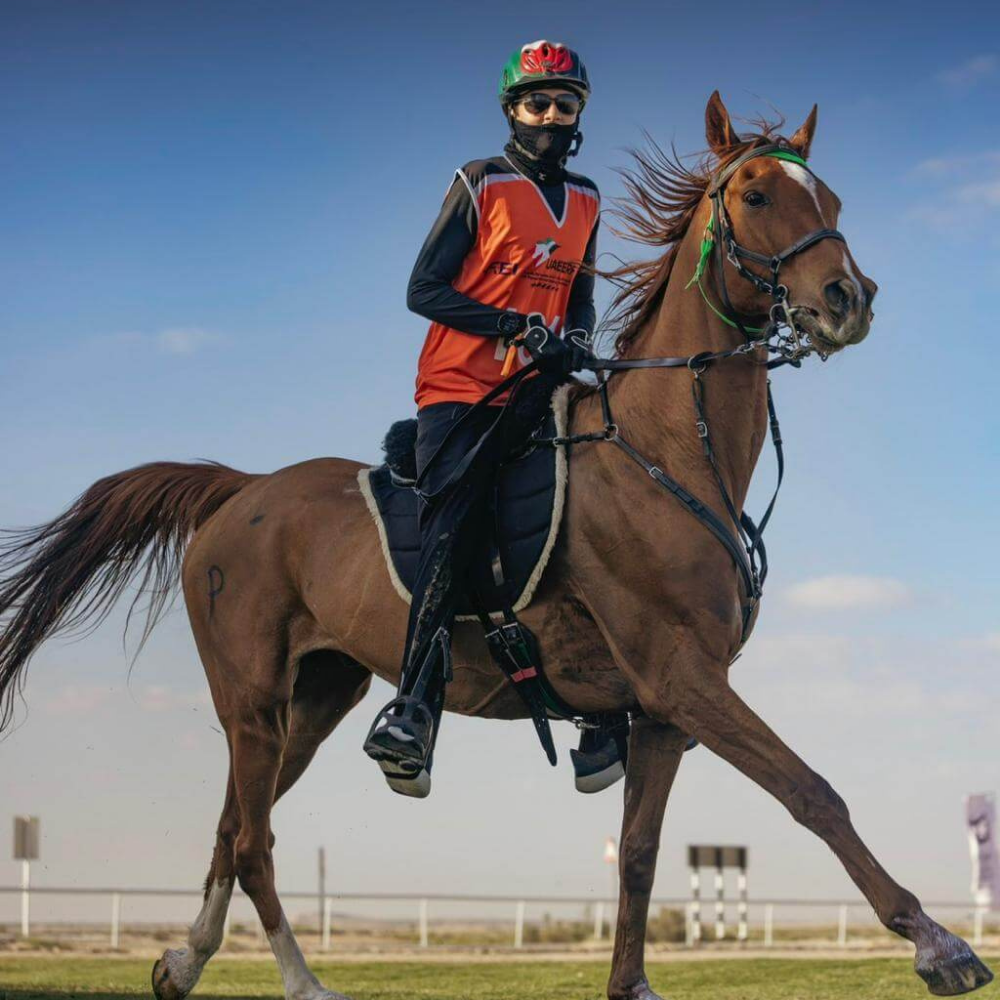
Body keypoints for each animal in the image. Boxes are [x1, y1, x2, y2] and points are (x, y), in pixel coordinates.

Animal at [0, 92, 992, 1000]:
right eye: (754, 195)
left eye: (831, 195)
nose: (848, 299)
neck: (669, 451)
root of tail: (243, 489)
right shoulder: (686, 679)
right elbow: (813, 791)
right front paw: (937, 943)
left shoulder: (664, 712)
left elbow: (639, 852)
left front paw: (630, 984)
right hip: (250, 702)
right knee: (252, 842)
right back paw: (303, 980)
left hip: (314, 700)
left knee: (230, 829)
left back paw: (182, 962)